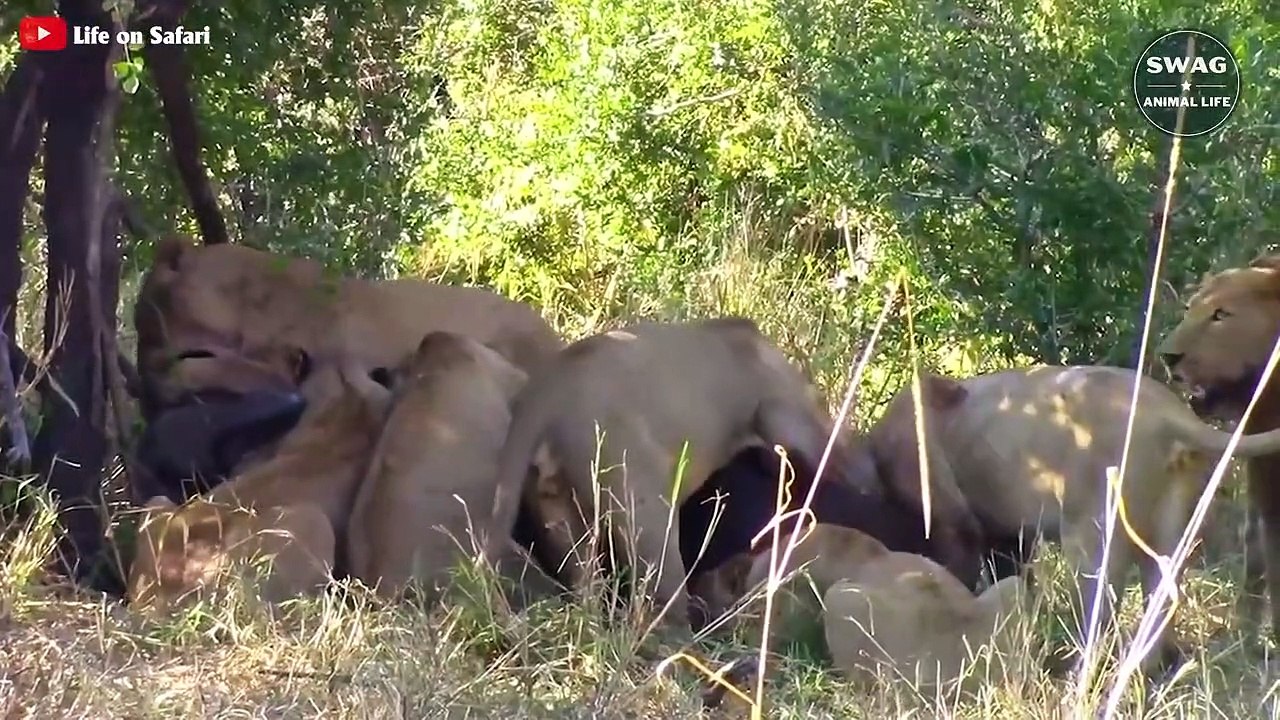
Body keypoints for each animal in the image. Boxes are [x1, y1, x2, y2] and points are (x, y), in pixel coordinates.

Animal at [478, 317, 938, 629]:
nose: (874, 482)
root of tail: (544, 398)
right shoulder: (778, 404)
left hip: (554, 499)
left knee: (583, 575)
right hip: (636, 489)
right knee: (662, 589)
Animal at [872, 364, 1280, 674]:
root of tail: (1168, 414)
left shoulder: (952, 521)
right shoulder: (1006, 534)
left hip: (1092, 531)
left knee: (1101, 605)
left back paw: (1081, 673)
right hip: (1172, 524)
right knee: (1161, 592)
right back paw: (1147, 669)